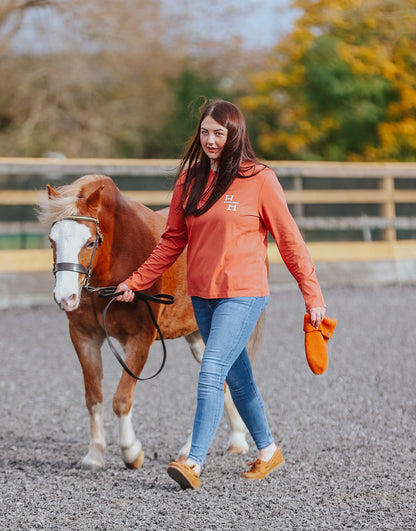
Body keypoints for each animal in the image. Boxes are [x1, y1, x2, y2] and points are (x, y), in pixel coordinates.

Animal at [39, 175, 266, 470]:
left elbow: (122, 399)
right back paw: (237, 440)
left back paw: (189, 451)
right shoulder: (84, 337)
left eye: (89, 242)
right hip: (198, 334)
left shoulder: (140, 339)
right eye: (52, 240)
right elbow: (94, 398)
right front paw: (95, 455)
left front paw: (131, 452)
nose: (65, 297)